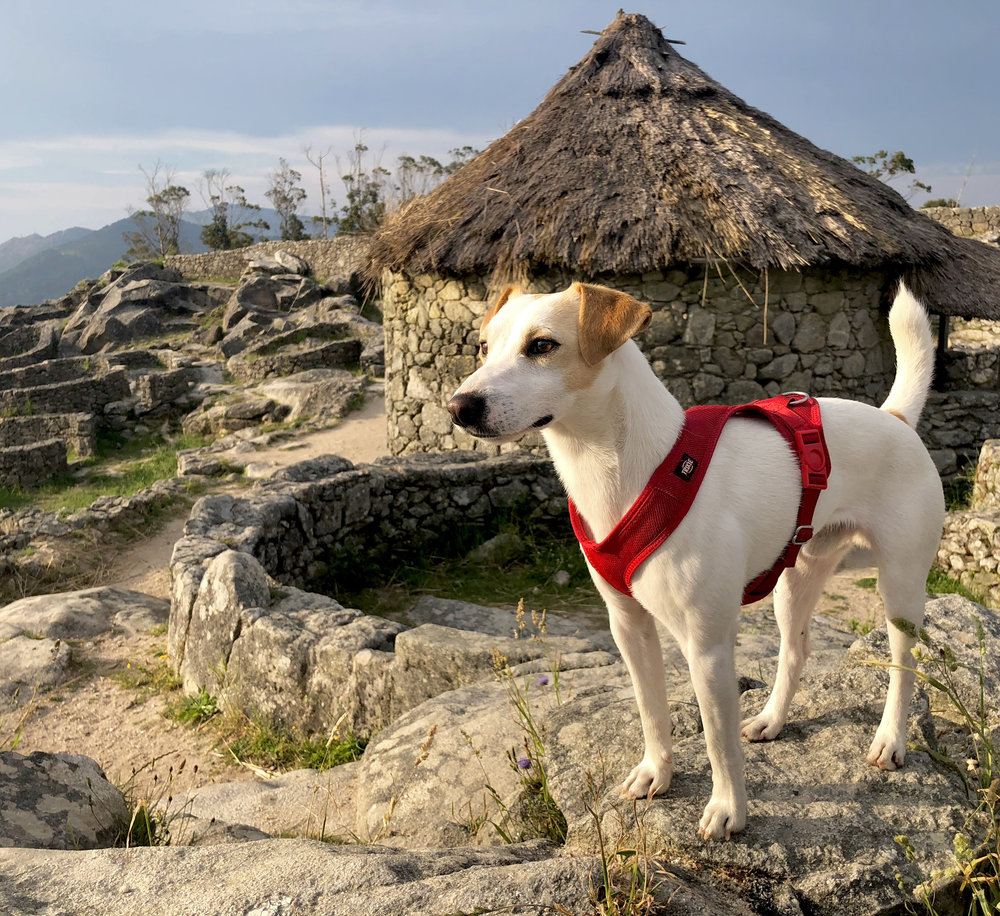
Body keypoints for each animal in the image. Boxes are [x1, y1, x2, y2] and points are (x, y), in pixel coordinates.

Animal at [450, 280, 948, 836]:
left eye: (542, 345)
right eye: (483, 346)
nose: (459, 406)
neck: (629, 470)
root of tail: (893, 417)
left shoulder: (706, 646)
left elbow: (716, 738)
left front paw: (729, 809)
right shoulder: (628, 626)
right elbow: (651, 708)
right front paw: (656, 772)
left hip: (900, 588)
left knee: (904, 664)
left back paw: (890, 740)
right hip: (795, 579)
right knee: (795, 651)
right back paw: (772, 719)